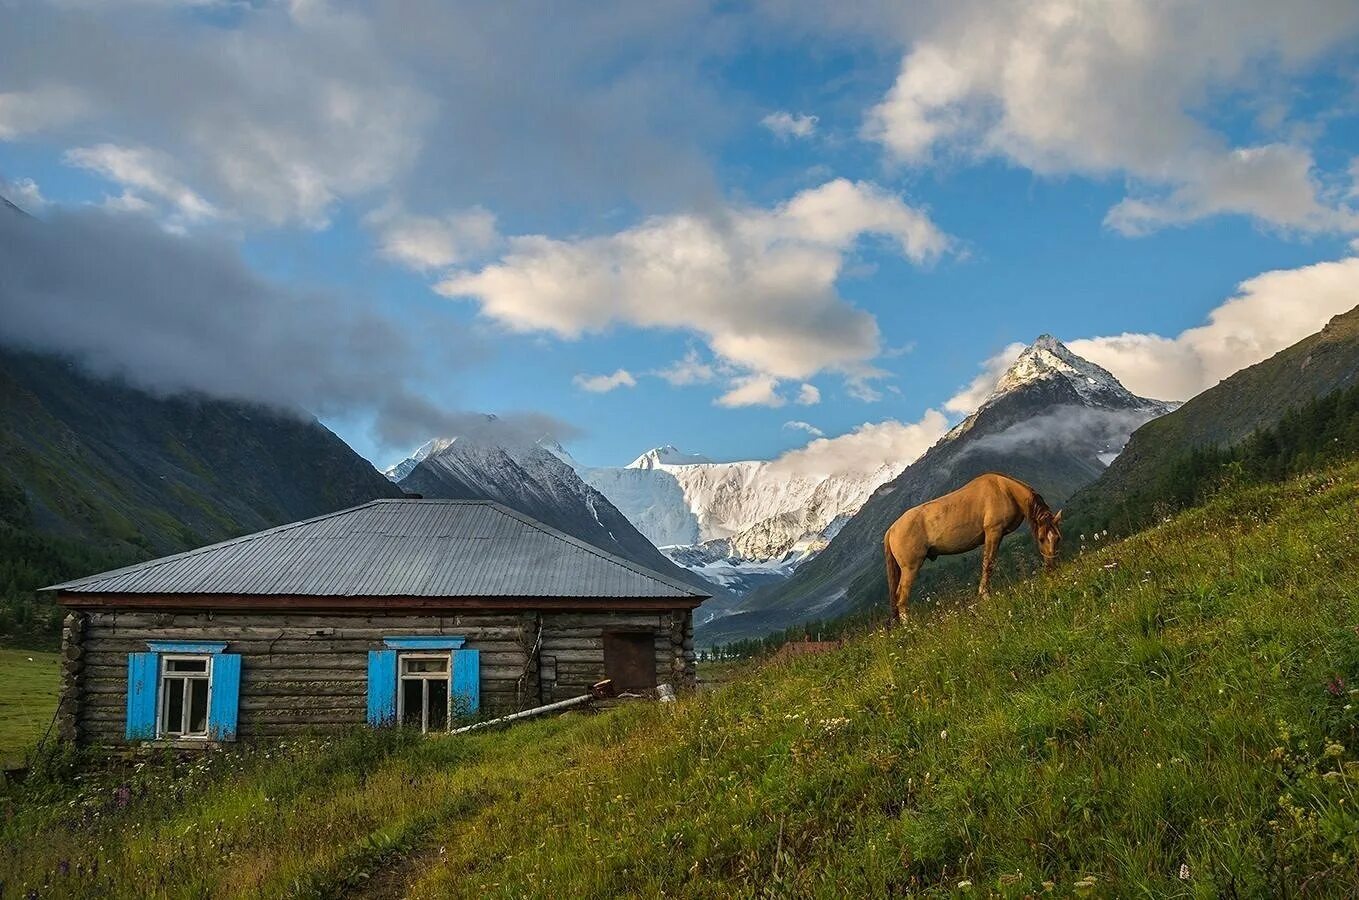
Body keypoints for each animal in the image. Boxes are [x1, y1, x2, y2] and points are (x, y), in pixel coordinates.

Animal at [880, 473, 1060, 628]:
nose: (1051, 568)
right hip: (910, 568)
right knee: (901, 597)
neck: (1005, 490)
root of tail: (891, 530)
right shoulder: (993, 532)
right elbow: (988, 564)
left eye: (1058, 538)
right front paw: (985, 595)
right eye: (1041, 538)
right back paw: (910, 626)